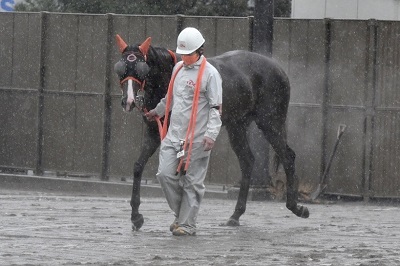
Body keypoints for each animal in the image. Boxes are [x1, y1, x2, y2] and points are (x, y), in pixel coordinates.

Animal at [114, 34, 310, 231]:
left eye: (141, 68)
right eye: (120, 67)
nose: (128, 101)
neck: (169, 76)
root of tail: (278, 68)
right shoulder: (154, 131)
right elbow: (138, 166)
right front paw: (136, 216)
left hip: (270, 123)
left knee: (287, 156)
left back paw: (296, 207)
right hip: (237, 126)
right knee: (247, 160)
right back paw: (236, 214)